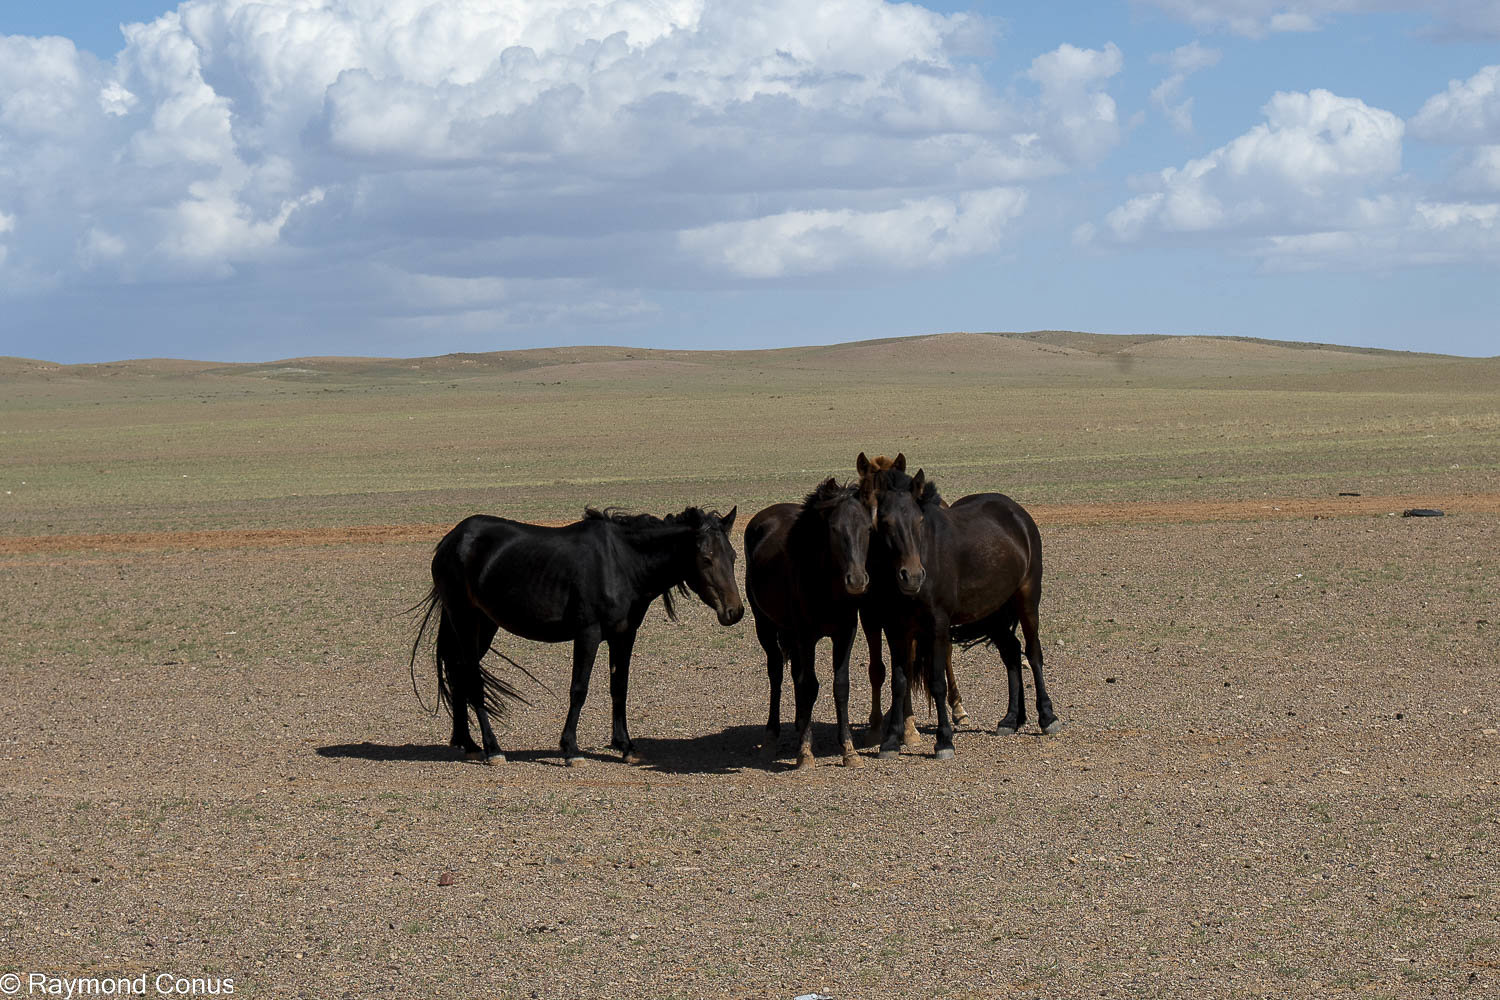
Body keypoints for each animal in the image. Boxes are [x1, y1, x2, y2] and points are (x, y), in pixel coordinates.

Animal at [410, 505, 743, 765]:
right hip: (464, 619)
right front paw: (571, 748)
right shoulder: (588, 634)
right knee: (470, 675)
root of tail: (451, 539)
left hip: (484, 624)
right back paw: (493, 749)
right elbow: (579, 689)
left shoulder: (624, 635)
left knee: (457, 670)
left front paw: (626, 746)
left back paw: (466, 743)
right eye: (705, 558)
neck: (622, 563)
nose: (735, 611)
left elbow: (619, 688)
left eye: (733, 556)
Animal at [744, 478, 873, 770]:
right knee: (777, 675)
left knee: (795, 675)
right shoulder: (806, 635)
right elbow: (810, 685)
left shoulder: (845, 633)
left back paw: (800, 722)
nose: (857, 580)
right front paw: (805, 752)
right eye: (834, 529)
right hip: (765, 626)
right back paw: (771, 739)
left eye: (868, 528)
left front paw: (849, 750)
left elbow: (840, 686)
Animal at [860, 460, 1061, 761]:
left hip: (1027, 599)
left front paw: (944, 740)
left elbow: (937, 682)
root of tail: (1018, 513)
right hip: (992, 612)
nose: (913, 576)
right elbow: (899, 682)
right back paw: (1011, 719)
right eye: (884, 522)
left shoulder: (937, 625)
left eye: (919, 521)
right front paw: (891, 741)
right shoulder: (896, 629)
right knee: (1012, 653)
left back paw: (1047, 717)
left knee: (1033, 653)